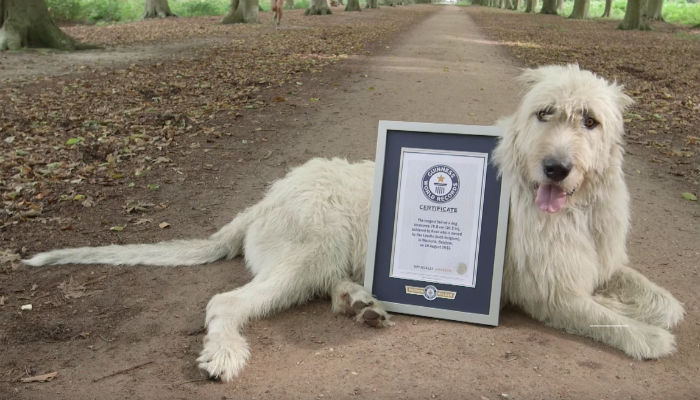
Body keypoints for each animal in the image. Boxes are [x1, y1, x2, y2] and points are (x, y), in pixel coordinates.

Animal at [26, 65, 684, 382]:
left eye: (590, 121)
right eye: (546, 112)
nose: (556, 168)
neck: (571, 208)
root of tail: (263, 199)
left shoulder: (604, 260)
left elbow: (653, 293)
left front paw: (651, 307)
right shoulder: (551, 292)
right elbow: (600, 313)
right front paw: (644, 335)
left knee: (324, 288)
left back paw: (360, 302)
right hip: (308, 251)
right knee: (226, 302)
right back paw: (226, 353)